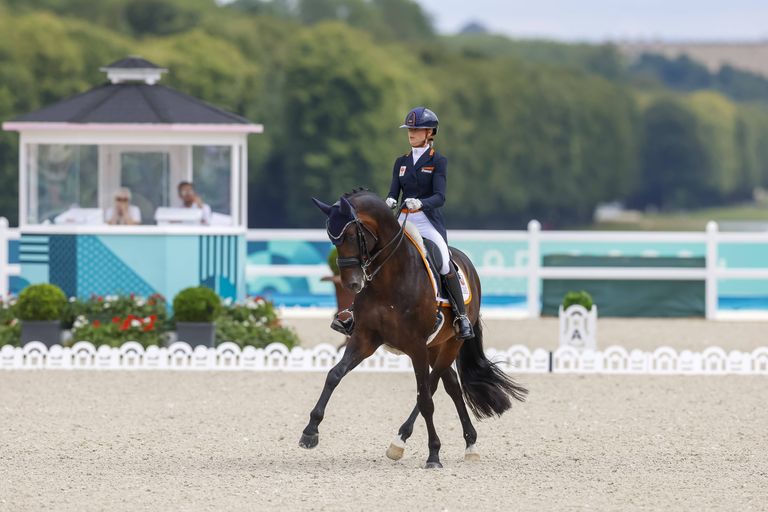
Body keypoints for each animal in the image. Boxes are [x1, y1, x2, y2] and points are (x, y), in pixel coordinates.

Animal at [300, 191, 528, 468]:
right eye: (332, 239)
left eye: (353, 235)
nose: (352, 284)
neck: (389, 278)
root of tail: (466, 263)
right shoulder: (365, 338)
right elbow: (334, 374)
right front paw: (310, 432)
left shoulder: (416, 346)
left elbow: (426, 398)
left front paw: (434, 454)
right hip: (435, 347)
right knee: (451, 384)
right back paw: (467, 443)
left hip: (450, 343)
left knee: (432, 385)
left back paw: (404, 441)